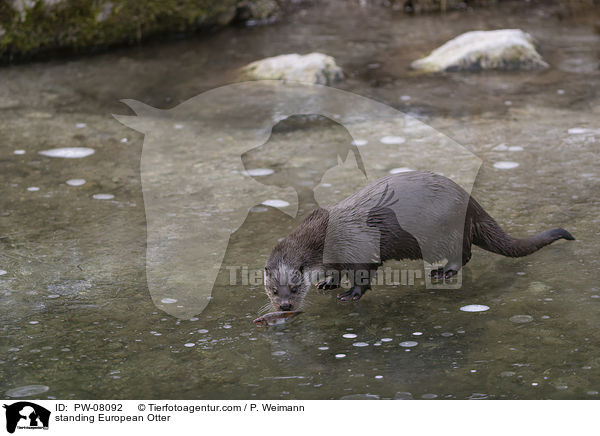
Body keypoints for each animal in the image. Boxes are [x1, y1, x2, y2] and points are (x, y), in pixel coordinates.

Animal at [264, 170, 576, 310]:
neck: (324, 237)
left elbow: (363, 275)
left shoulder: (359, 248)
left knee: (464, 254)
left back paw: (443, 272)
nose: (285, 306)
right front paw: (328, 282)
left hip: (449, 231)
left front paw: (350, 294)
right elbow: (336, 271)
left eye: (294, 288)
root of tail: (471, 203)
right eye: (272, 290)